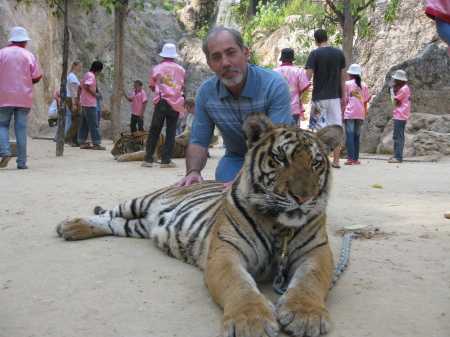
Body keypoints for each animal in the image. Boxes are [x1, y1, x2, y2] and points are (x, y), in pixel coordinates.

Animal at [58, 112, 342, 336]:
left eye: (316, 163)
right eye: (280, 159)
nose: (303, 197)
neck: (278, 226)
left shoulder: (316, 252)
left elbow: (310, 280)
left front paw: (306, 314)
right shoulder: (226, 251)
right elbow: (238, 285)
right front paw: (251, 321)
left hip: (138, 227)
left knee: (115, 224)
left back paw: (74, 229)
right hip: (141, 202)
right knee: (109, 214)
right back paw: (69, 225)